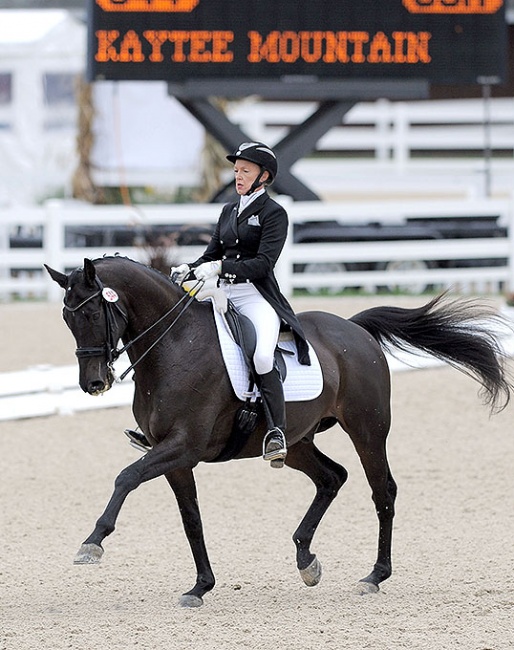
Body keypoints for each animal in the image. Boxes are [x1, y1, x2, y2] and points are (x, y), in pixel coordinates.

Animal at [45, 256, 508, 604]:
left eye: (92, 312)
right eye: (67, 319)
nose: (93, 383)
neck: (175, 347)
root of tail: (355, 328)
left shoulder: (183, 446)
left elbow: (126, 477)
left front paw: (92, 543)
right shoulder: (173, 455)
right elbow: (191, 518)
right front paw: (200, 587)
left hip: (368, 429)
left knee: (383, 491)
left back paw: (374, 576)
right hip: (298, 441)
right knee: (331, 477)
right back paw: (306, 560)